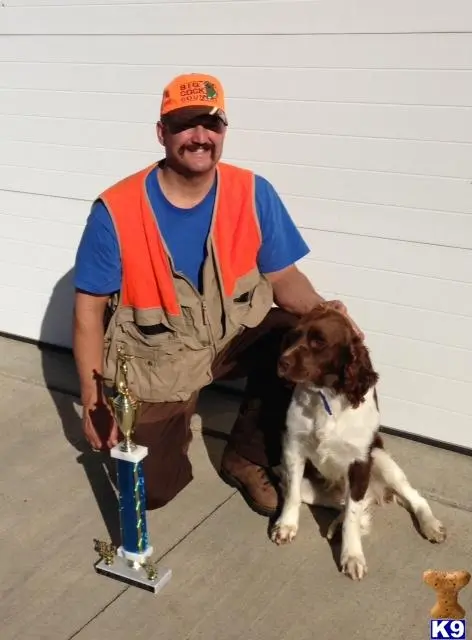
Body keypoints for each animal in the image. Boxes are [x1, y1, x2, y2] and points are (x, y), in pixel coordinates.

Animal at [270, 304, 446, 580]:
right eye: (293, 336)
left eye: (319, 341)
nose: (281, 361)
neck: (325, 397)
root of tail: (377, 493)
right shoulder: (292, 447)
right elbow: (292, 494)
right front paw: (286, 525)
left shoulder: (360, 461)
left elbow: (353, 516)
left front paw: (351, 555)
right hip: (313, 489)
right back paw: (335, 524)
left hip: (382, 461)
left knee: (414, 498)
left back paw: (430, 525)